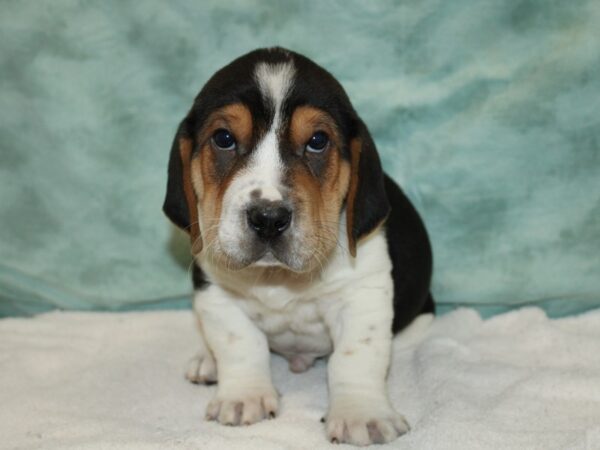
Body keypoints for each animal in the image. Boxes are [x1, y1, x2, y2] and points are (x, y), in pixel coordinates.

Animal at [162, 46, 434, 446]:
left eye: (317, 142)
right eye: (224, 138)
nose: (268, 218)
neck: (278, 277)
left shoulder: (363, 295)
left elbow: (355, 357)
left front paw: (361, 413)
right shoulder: (215, 293)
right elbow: (240, 343)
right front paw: (243, 396)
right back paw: (207, 360)